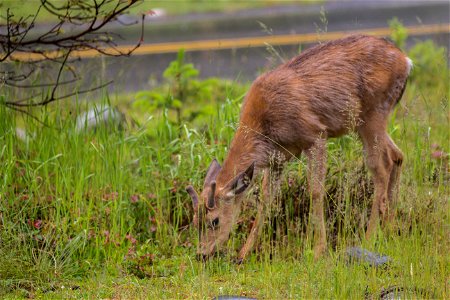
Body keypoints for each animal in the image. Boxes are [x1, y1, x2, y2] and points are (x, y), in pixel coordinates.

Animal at [185, 34, 414, 262]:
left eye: (214, 220)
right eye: (194, 221)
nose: (201, 254)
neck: (263, 127)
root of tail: (406, 61)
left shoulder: (315, 135)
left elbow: (315, 191)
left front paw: (319, 250)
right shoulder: (279, 157)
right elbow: (266, 200)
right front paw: (243, 253)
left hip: (373, 112)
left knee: (382, 167)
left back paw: (369, 237)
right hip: (366, 122)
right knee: (397, 155)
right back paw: (389, 227)